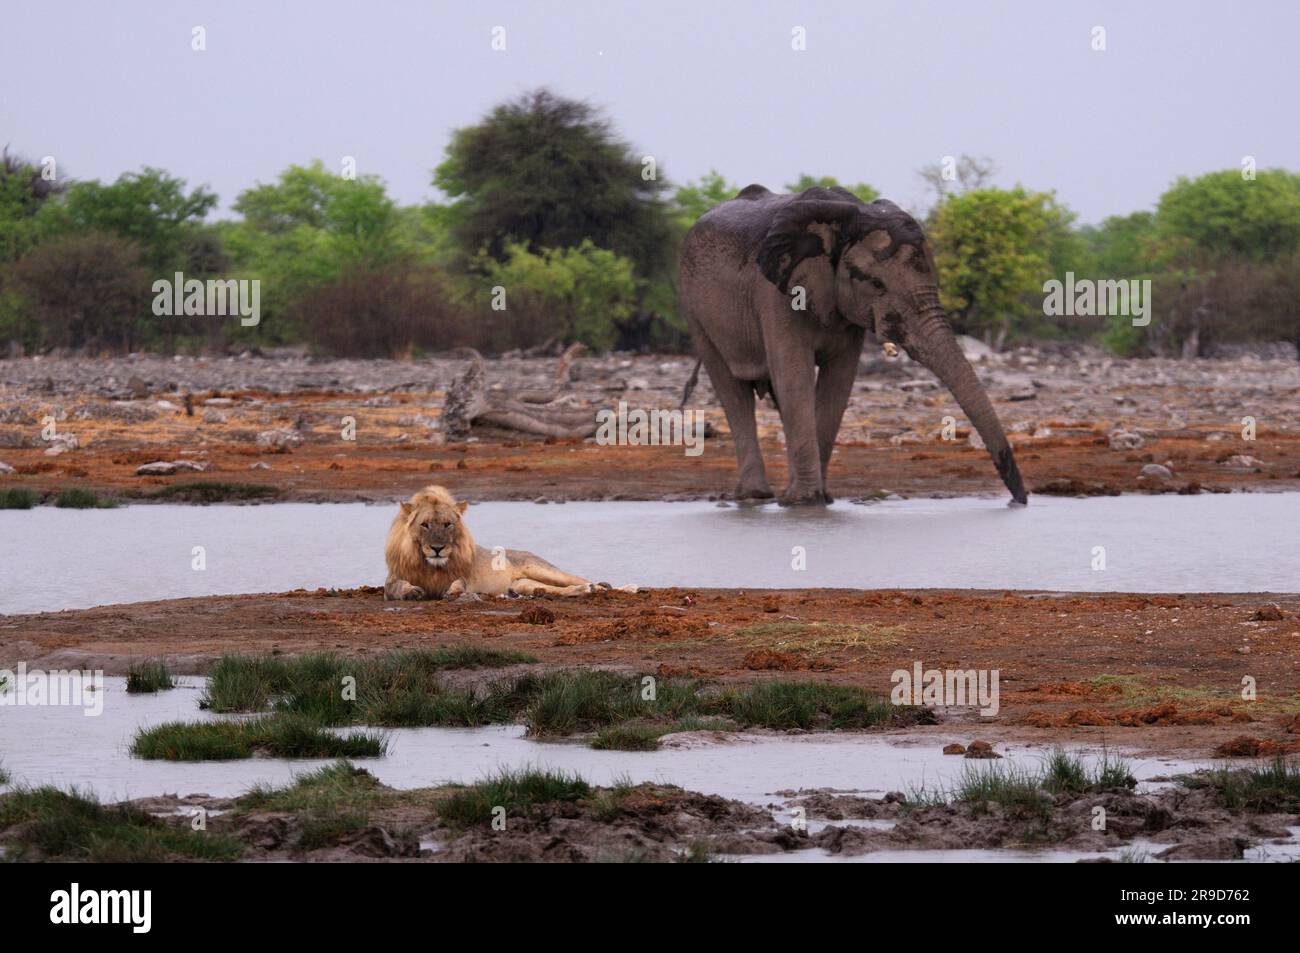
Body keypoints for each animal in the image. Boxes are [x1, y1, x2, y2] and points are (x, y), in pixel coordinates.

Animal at [379, 486, 634, 598]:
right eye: (425, 525)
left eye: (447, 524)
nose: (437, 548)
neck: (430, 565)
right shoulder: (393, 578)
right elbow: (394, 587)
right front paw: (412, 591)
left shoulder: (463, 575)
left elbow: (458, 582)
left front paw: (452, 590)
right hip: (524, 582)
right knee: (552, 589)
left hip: (541, 568)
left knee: (580, 579)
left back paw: (607, 587)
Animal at [681, 180, 1024, 504]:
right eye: (877, 284)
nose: (1020, 499)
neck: (847, 219)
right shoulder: (776, 293)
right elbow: (795, 375)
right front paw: (804, 501)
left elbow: (838, 381)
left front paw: (819, 499)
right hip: (696, 310)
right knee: (732, 389)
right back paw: (755, 495)